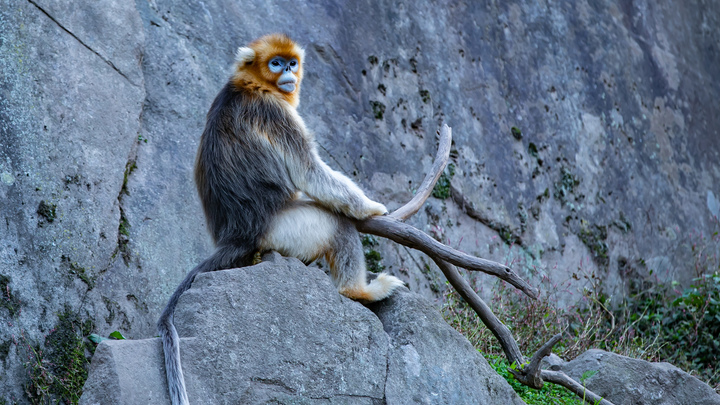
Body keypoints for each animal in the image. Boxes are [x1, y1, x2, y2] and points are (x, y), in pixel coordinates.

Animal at [159, 34, 404, 404]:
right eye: (275, 63)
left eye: (291, 63)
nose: (288, 73)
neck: (251, 84)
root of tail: (237, 237)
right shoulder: (273, 111)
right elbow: (309, 172)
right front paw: (371, 208)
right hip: (286, 230)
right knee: (338, 225)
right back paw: (358, 291)